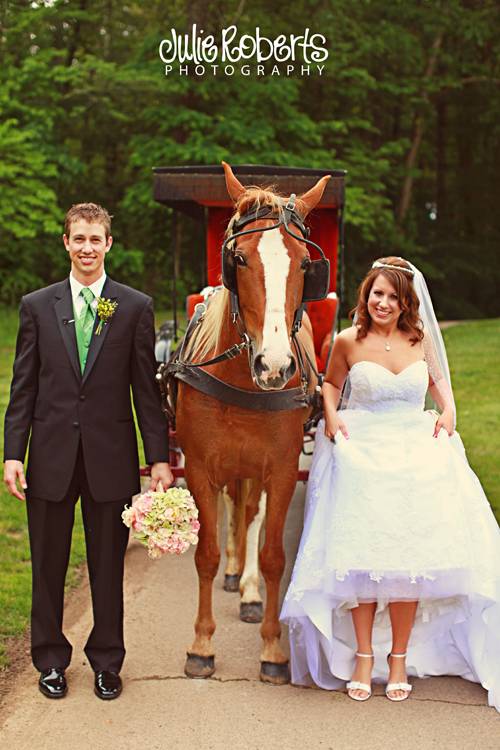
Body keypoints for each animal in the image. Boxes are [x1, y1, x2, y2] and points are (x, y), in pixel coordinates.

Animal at [174, 164, 330, 688]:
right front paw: (201, 645)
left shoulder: (279, 469)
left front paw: (273, 649)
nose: (275, 366)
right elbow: (204, 553)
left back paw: (247, 589)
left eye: (305, 266)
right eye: (238, 258)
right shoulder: (200, 467)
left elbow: (273, 554)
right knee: (233, 510)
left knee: (250, 514)